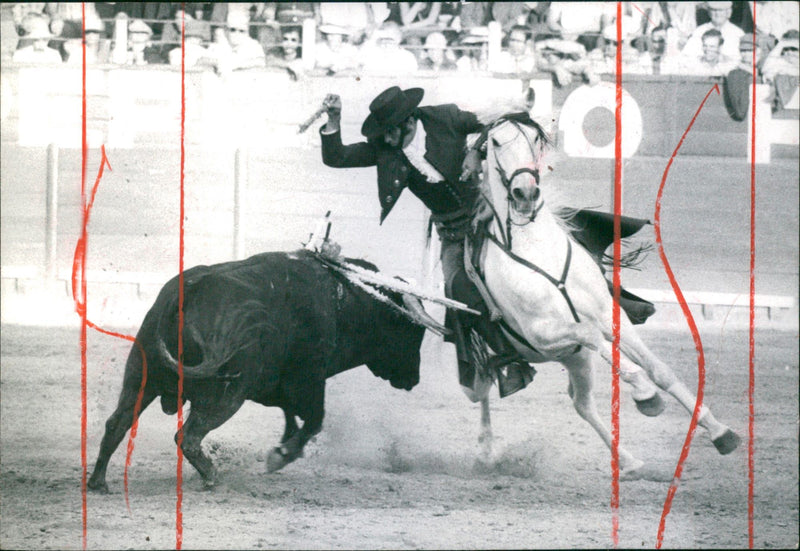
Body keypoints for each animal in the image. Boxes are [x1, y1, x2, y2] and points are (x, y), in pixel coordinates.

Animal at [90, 250, 434, 492]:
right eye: (412, 330)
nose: (414, 378)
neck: (343, 302)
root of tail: (187, 291)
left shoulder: (281, 389)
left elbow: (293, 419)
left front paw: (285, 447)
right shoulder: (310, 380)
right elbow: (314, 421)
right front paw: (280, 456)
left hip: (140, 378)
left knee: (117, 423)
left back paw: (98, 482)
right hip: (225, 396)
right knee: (187, 436)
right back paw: (212, 476)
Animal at [472, 114, 740, 480]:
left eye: (535, 140)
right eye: (496, 142)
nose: (525, 193)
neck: (536, 249)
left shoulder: (607, 313)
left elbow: (659, 369)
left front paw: (719, 430)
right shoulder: (542, 334)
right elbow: (593, 335)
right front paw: (645, 393)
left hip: (576, 359)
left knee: (582, 404)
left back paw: (630, 462)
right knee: (481, 392)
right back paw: (486, 453)